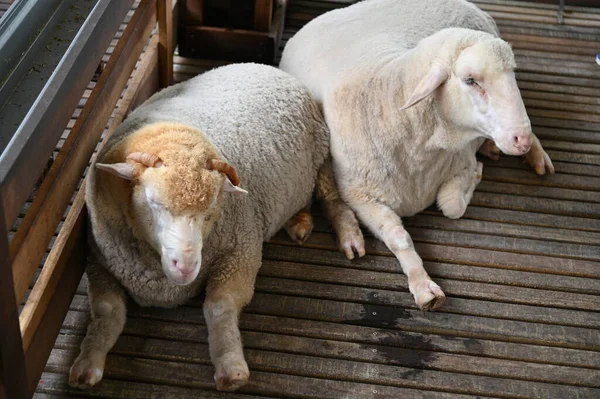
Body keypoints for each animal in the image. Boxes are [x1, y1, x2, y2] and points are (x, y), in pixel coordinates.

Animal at [68, 64, 328, 392]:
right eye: (152, 202)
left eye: (211, 209)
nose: (186, 266)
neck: (170, 132)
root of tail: (267, 68)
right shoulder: (98, 261)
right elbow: (107, 312)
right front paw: (87, 362)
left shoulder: (241, 252)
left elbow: (219, 307)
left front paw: (230, 366)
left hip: (310, 170)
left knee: (308, 196)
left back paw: (299, 222)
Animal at [278, 0, 556, 312]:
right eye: (470, 80)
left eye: (512, 74)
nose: (520, 139)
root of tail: (469, 4)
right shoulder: (360, 195)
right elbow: (399, 238)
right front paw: (423, 285)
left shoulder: (459, 161)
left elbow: (451, 206)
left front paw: (478, 172)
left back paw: (532, 154)